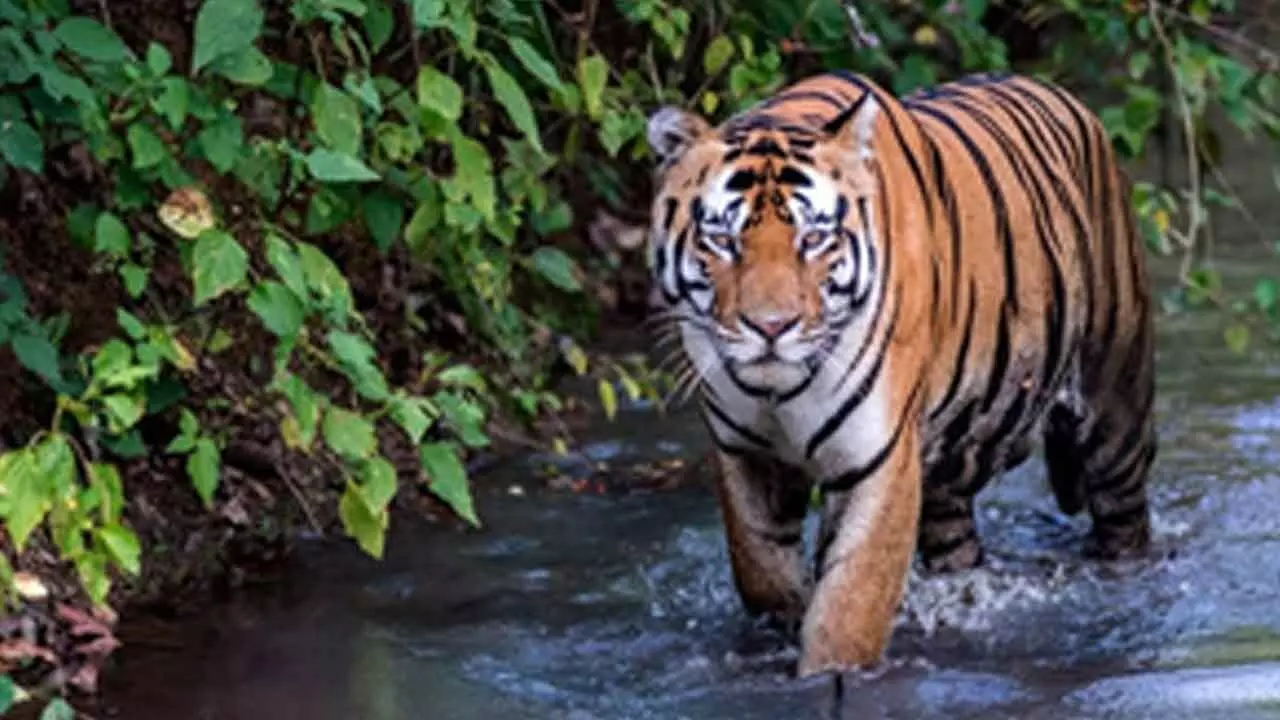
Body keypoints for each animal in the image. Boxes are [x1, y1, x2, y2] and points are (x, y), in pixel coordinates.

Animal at [644, 70, 1157, 677]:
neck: (778, 390)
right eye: (722, 241)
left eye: (813, 239)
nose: (771, 327)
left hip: (1115, 407)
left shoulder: (878, 457)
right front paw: (782, 626)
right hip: (952, 468)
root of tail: (1063, 96)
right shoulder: (745, 453)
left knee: (1123, 519)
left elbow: (849, 604)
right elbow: (763, 570)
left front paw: (828, 673)